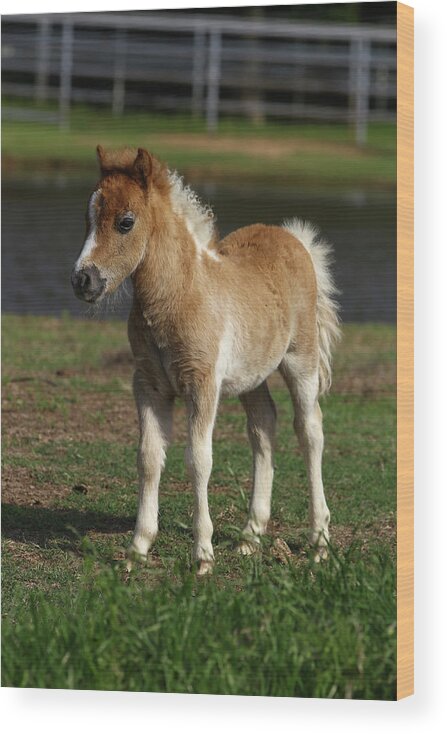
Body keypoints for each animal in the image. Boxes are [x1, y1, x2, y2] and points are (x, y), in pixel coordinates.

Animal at [72, 148, 342, 576]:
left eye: (125, 222)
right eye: (88, 217)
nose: (83, 281)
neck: (180, 294)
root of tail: (294, 238)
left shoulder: (202, 384)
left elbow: (198, 460)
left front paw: (202, 555)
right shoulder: (148, 384)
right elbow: (149, 458)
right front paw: (137, 548)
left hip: (302, 359)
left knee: (310, 430)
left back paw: (318, 542)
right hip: (252, 375)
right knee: (263, 426)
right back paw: (250, 536)